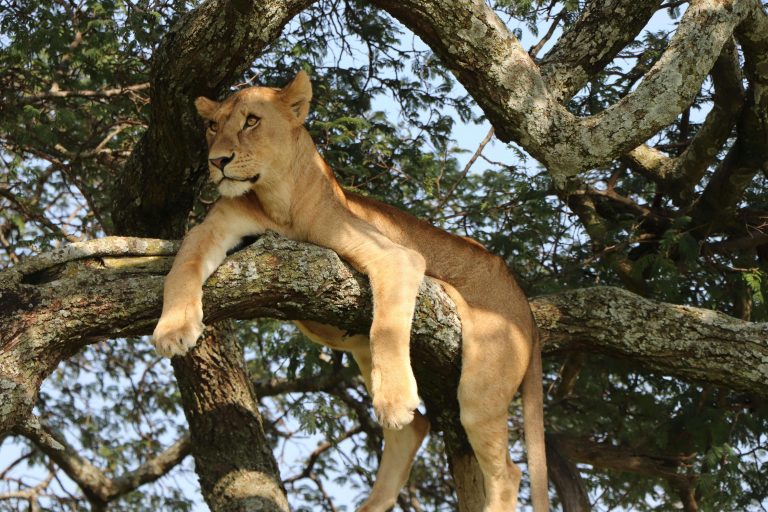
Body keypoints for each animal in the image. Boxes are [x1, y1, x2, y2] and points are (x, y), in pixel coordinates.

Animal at [152, 71, 548, 512]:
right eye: (212, 126)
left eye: (251, 121)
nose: (216, 161)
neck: (276, 200)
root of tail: (522, 301)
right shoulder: (213, 228)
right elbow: (183, 266)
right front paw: (173, 330)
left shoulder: (397, 256)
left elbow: (387, 329)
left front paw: (394, 401)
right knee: (413, 431)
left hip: (483, 381)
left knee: (507, 472)